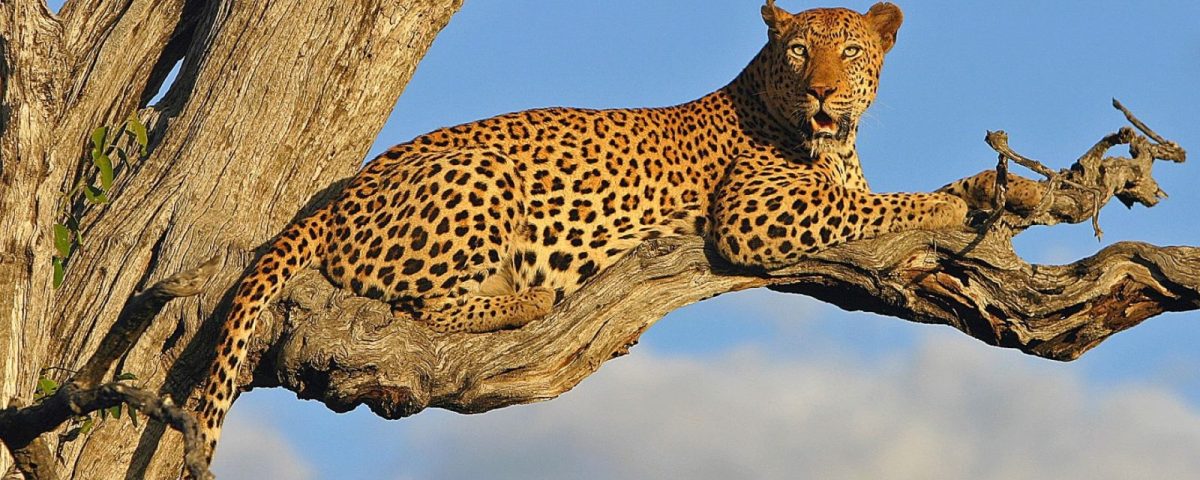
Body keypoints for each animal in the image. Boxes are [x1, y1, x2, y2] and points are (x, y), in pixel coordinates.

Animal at [193, 0, 1042, 465]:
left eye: (853, 51)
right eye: (800, 51)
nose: (825, 94)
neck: (831, 142)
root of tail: (331, 200)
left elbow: (895, 193)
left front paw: (998, 189)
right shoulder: (752, 212)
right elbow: (878, 206)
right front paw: (950, 208)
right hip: (482, 172)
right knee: (430, 305)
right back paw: (528, 296)